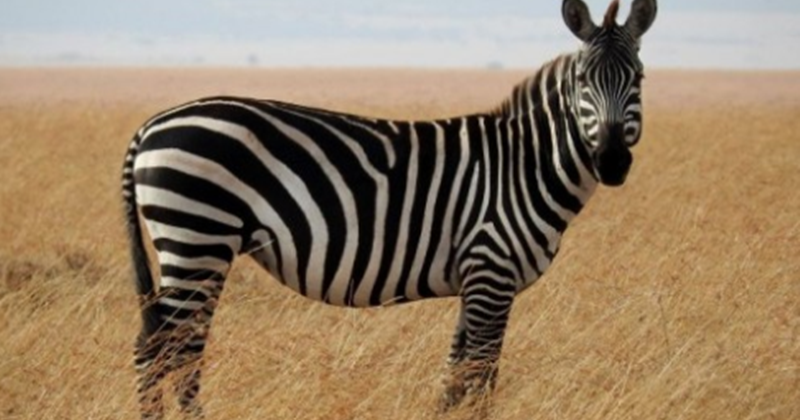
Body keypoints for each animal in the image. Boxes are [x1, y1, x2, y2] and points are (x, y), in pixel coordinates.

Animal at [122, 0, 657, 418]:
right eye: (583, 81)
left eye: (639, 78)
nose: (612, 161)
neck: (524, 166)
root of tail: (151, 124)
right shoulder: (491, 271)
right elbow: (482, 378)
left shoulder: (475, 279)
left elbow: (454, 378)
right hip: (198, 238)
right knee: (166, 351)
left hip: (195, 245)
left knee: (167, 348)